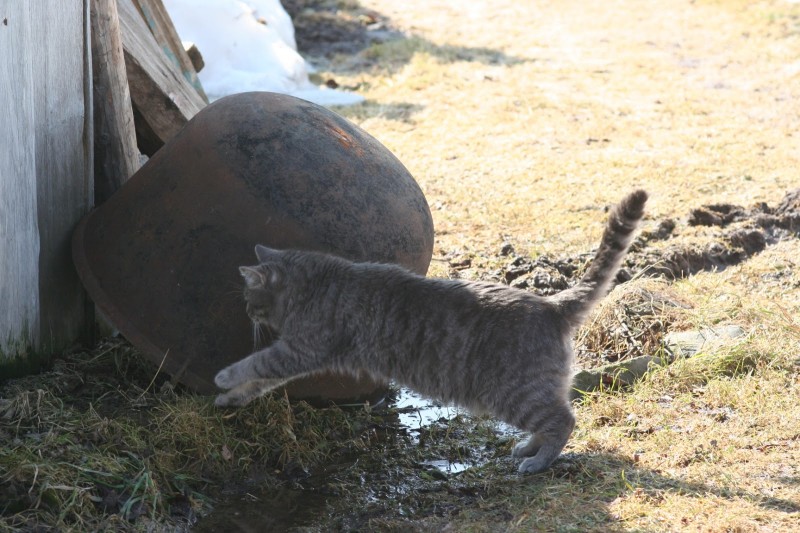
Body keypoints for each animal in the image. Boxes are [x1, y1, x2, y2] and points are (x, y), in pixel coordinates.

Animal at [214, 189, 648, 472]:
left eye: (249, 299)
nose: (248, 313)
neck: (317, 282)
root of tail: (550, 305)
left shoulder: (298, 349)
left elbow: (254, 364)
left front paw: (224, 377)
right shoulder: (295, 355)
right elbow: (258, 383)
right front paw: (229, 398)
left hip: (513, 393)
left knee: (563, 421)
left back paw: (538, 461)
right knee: (551, 418)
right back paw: (528, 448)